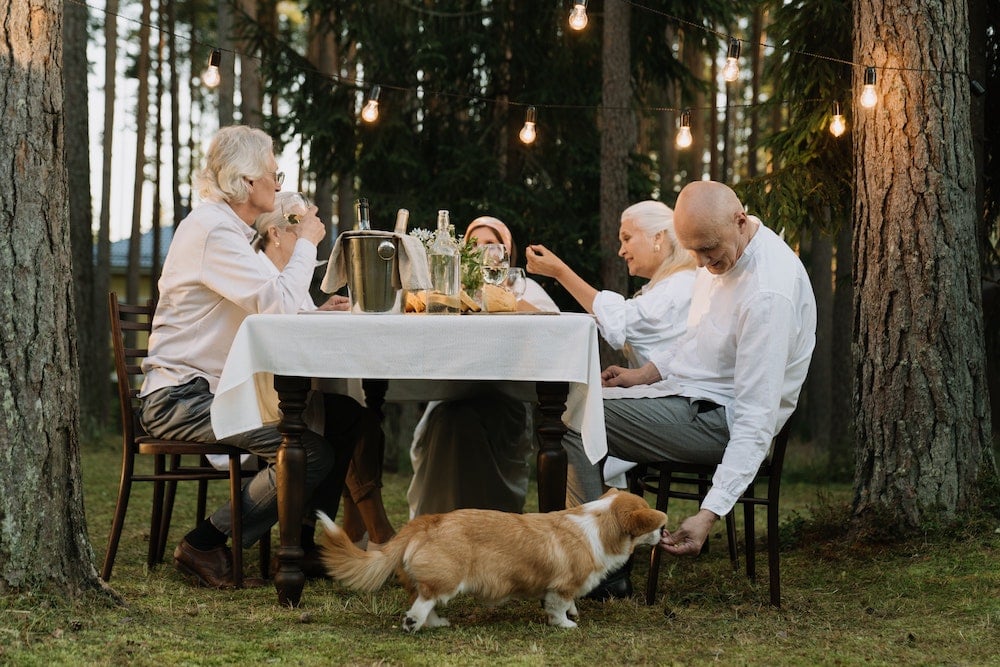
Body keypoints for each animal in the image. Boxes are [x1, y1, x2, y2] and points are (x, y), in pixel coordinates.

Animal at [316, 488, 668, 636]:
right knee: (423, 602)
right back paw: (414, 624)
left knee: (424, 600)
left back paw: (435, 623)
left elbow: (568, 604)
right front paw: (566, 624)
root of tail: (429, 521)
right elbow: (558, 607)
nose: (665, 534)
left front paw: (572, 614)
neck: (599, 523)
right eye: (654, 526)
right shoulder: (560, 586)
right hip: (447, 578)